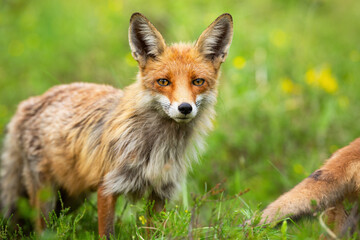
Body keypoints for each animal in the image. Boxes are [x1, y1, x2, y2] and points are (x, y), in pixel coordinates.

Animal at [0, 12, 233, 237]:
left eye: (198, 81)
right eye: (163, 82)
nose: (185, 108)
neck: (157, 146)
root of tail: (29, 103)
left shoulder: (160, 192)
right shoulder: (107, 186)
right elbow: (107, 233)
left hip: (72, 197)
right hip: (46, 196)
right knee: (42, 230)